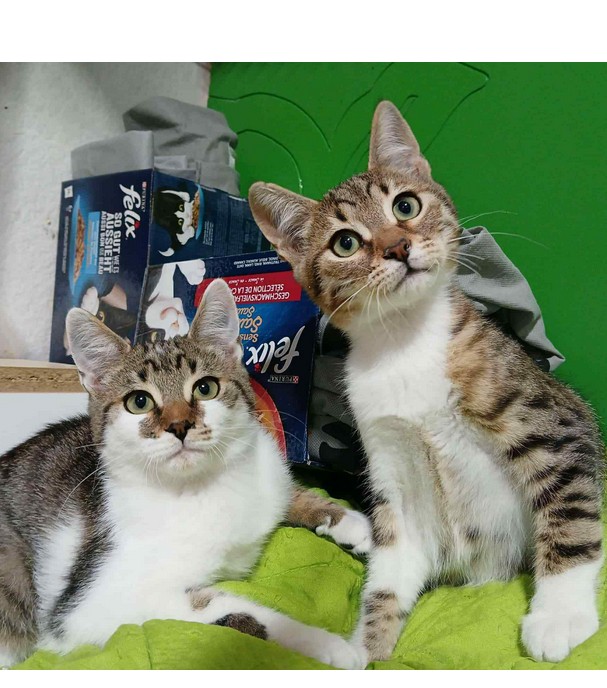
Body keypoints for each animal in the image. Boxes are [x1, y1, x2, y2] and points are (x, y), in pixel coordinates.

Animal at [0, 279, 370, 669]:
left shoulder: (268, 471)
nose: (179, 426)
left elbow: (291, 492)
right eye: (139, 402)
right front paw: (324, 644)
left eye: (205, 387)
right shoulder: (90, 608)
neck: (199, 488)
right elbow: (230, 609)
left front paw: (348, 522)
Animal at [248, 101, 605, 666]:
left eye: (406, 205)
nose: (398, 247)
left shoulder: (551, 419)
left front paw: (560, 614)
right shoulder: (392, 469)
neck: (404, 343)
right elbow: (390, 571)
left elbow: (568, 510)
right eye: (345, 243)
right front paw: (365, 651)